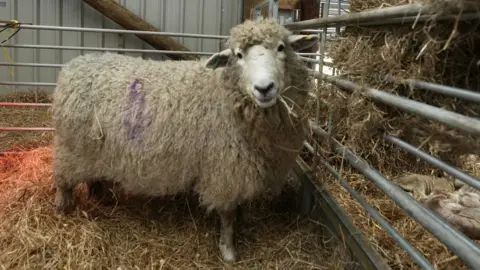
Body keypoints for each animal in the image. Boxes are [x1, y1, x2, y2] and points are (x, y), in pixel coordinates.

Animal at [52, 17, 318, 262]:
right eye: (238, 55)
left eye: (281, 48)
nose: (264, 88)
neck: (223, 93)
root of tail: (73, 66)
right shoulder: (224, 170)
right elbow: (228, 215)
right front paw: (228, 250)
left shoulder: (240, 169)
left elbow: (238, 207)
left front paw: (243, 222)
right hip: (71, 147)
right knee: (63, 178)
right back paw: (64, 205)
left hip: (95, 149)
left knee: (93, 177)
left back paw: (102, 196)